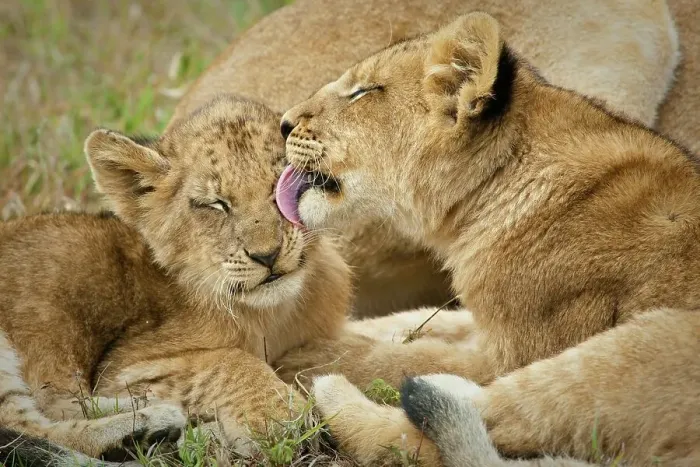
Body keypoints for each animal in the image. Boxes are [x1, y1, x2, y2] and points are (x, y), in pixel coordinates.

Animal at [0, 95, 353, 464]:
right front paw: (278, 418)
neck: (273, 315)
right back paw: (148, 427)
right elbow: (225, 359)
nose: (267, 255)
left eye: (280, 186)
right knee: (25, 426)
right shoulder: (120, 366)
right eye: (215, 204)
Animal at [273, 12, 700, 466]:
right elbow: (421, 319)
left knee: (448, 429)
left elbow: (402, 358)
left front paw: (306, 356)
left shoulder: (517, 354)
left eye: (363, 92)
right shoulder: (483, 322)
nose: (282, 124)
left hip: (651, 343)